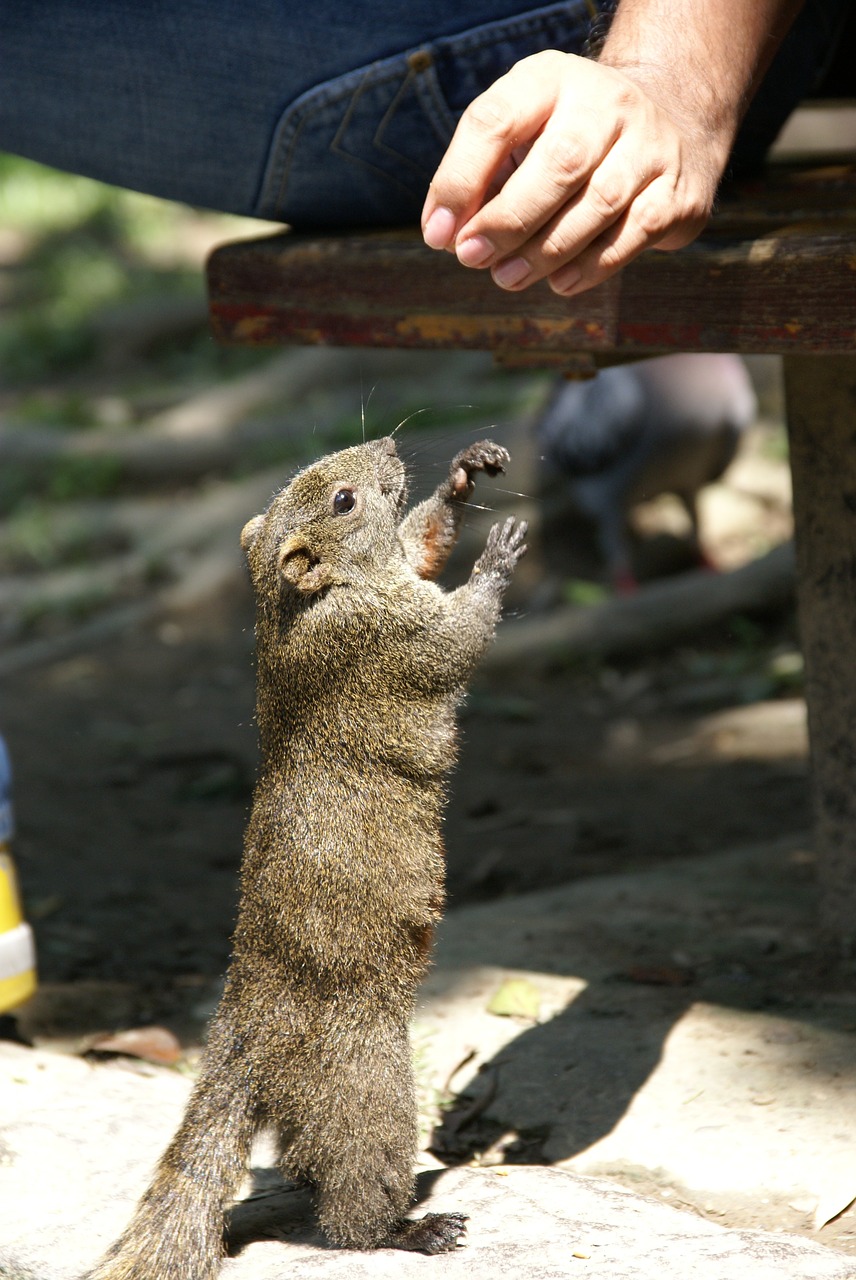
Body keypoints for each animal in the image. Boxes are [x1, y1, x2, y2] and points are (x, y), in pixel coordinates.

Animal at [88, 435, 527, 1274]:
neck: (297, 608)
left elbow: (420, 544)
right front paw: (497, 557)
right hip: (366, 1085)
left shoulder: (396, 582)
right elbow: (456, 639)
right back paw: (410, 1229)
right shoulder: (390, 638)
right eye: (343, 502)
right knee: (350, 1195)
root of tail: (243, 1035)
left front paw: (462, 476)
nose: (389, 445)